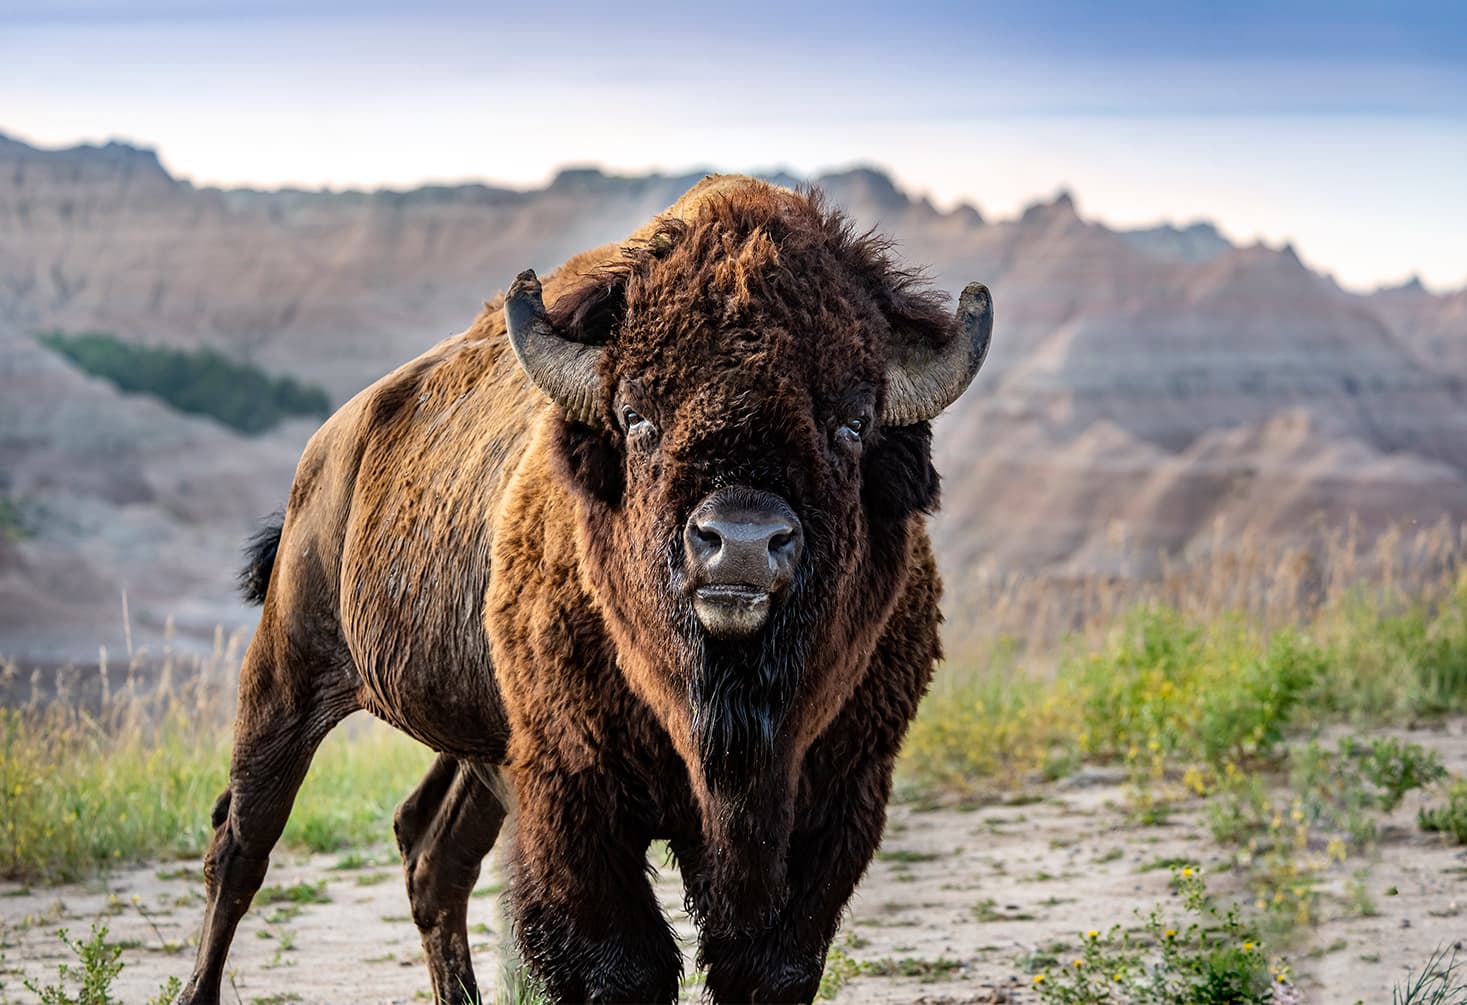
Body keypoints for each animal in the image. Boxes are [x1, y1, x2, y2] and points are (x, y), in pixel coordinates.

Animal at [180, 174, 992, 1005]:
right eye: (634, 415)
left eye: (853, 422)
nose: (739, 540)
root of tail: (334, 443)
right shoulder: (576, 796)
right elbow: (619, 962)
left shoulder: (838, 801)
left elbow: (772, 963)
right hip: (287, 677)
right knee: (239, 845)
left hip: (482, 741)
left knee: (430, 851)